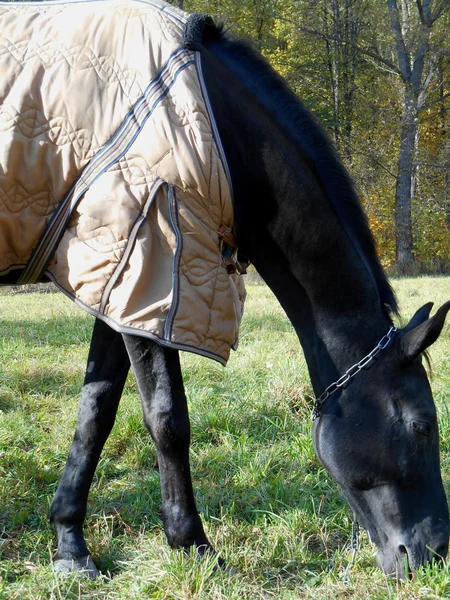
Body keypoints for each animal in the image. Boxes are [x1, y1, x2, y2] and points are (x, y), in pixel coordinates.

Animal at [6, 14, 450, 580]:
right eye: (422, 425)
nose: (435, 551)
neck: (221, 135)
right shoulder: (154, 272)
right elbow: (168, 421)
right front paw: (192, 544)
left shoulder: (117, 286)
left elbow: (95, 412)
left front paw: (69, 543)